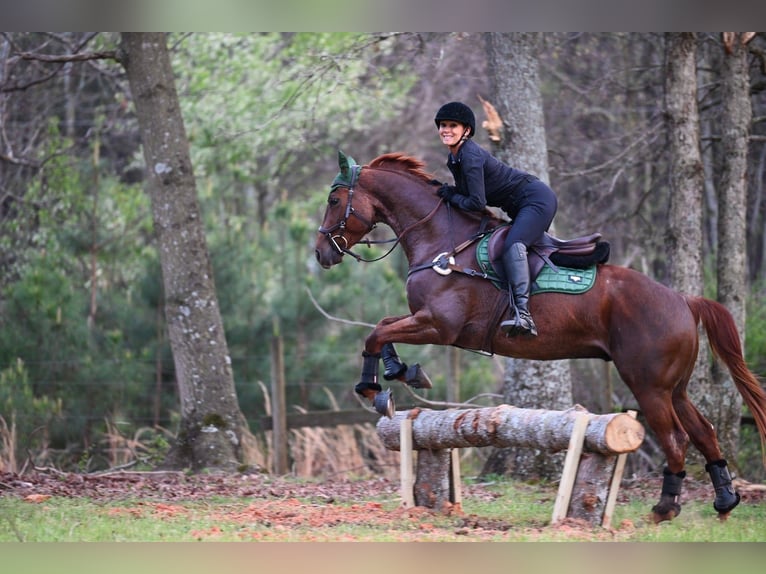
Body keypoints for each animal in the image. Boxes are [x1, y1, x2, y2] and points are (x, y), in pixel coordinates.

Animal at [314, 150, 766, 523]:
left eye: (334, 201)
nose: (322, 253)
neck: (444, 242)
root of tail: (684, 300)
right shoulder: (426, 320)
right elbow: (383, 327)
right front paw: (400, 371)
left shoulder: (441, 325)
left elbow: (376, 334)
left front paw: (375, 388)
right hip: (675, 387)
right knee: (704, 431)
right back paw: (724, 501)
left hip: (648, 386)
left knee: (675, 439)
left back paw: (664, 508)